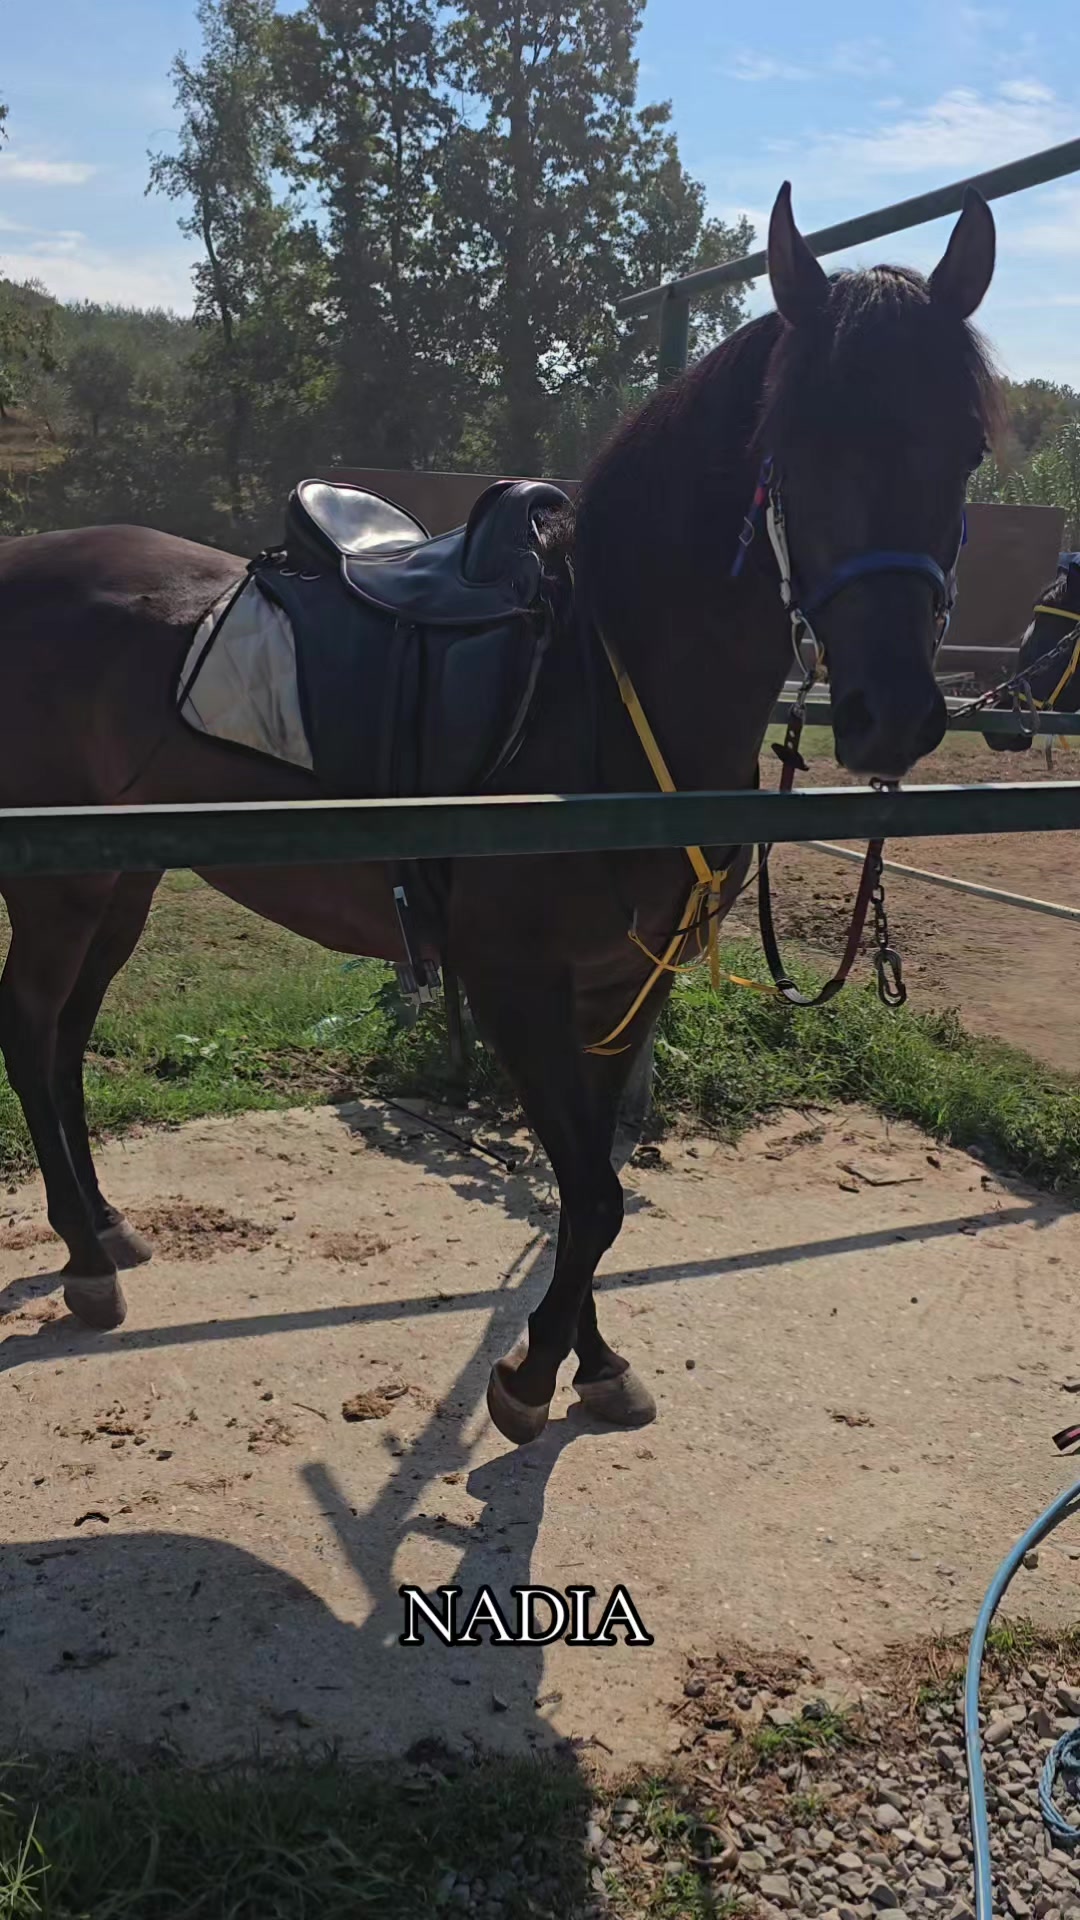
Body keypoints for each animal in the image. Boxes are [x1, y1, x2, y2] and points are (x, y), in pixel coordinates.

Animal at [0, 184, 998, 1446]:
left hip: (118, 881)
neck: (604, 680)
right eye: (800, 443)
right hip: (58, 887)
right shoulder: (514, 977)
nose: (892, 714)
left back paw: (105, 1226)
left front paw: (586, 1364)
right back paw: (88, 1266)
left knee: (66, 1036)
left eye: (967, 447)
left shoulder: (626, 986)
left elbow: (590, 1195)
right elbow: (593, 1191)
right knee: (30, 1027)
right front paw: (528, 1380)